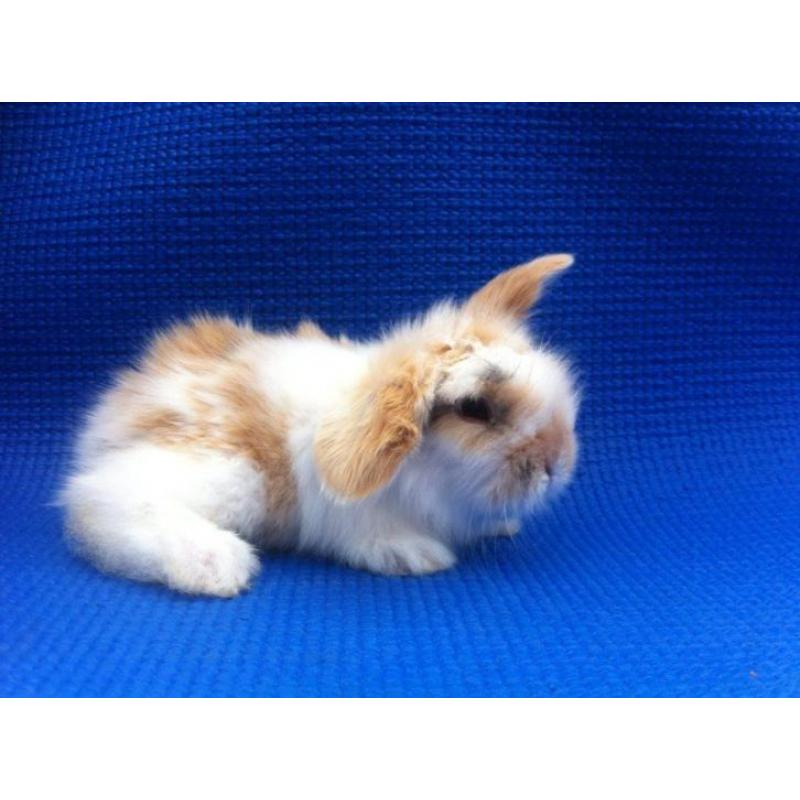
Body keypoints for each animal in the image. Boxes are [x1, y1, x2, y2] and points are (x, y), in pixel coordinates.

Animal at [59, 254, 579, 597]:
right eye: (474, 408)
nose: (556, 464)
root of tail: (118, 407)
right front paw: (415, 556)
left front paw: (503, 526)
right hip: (231, 475)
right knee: (99, 497)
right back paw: (217, 566)